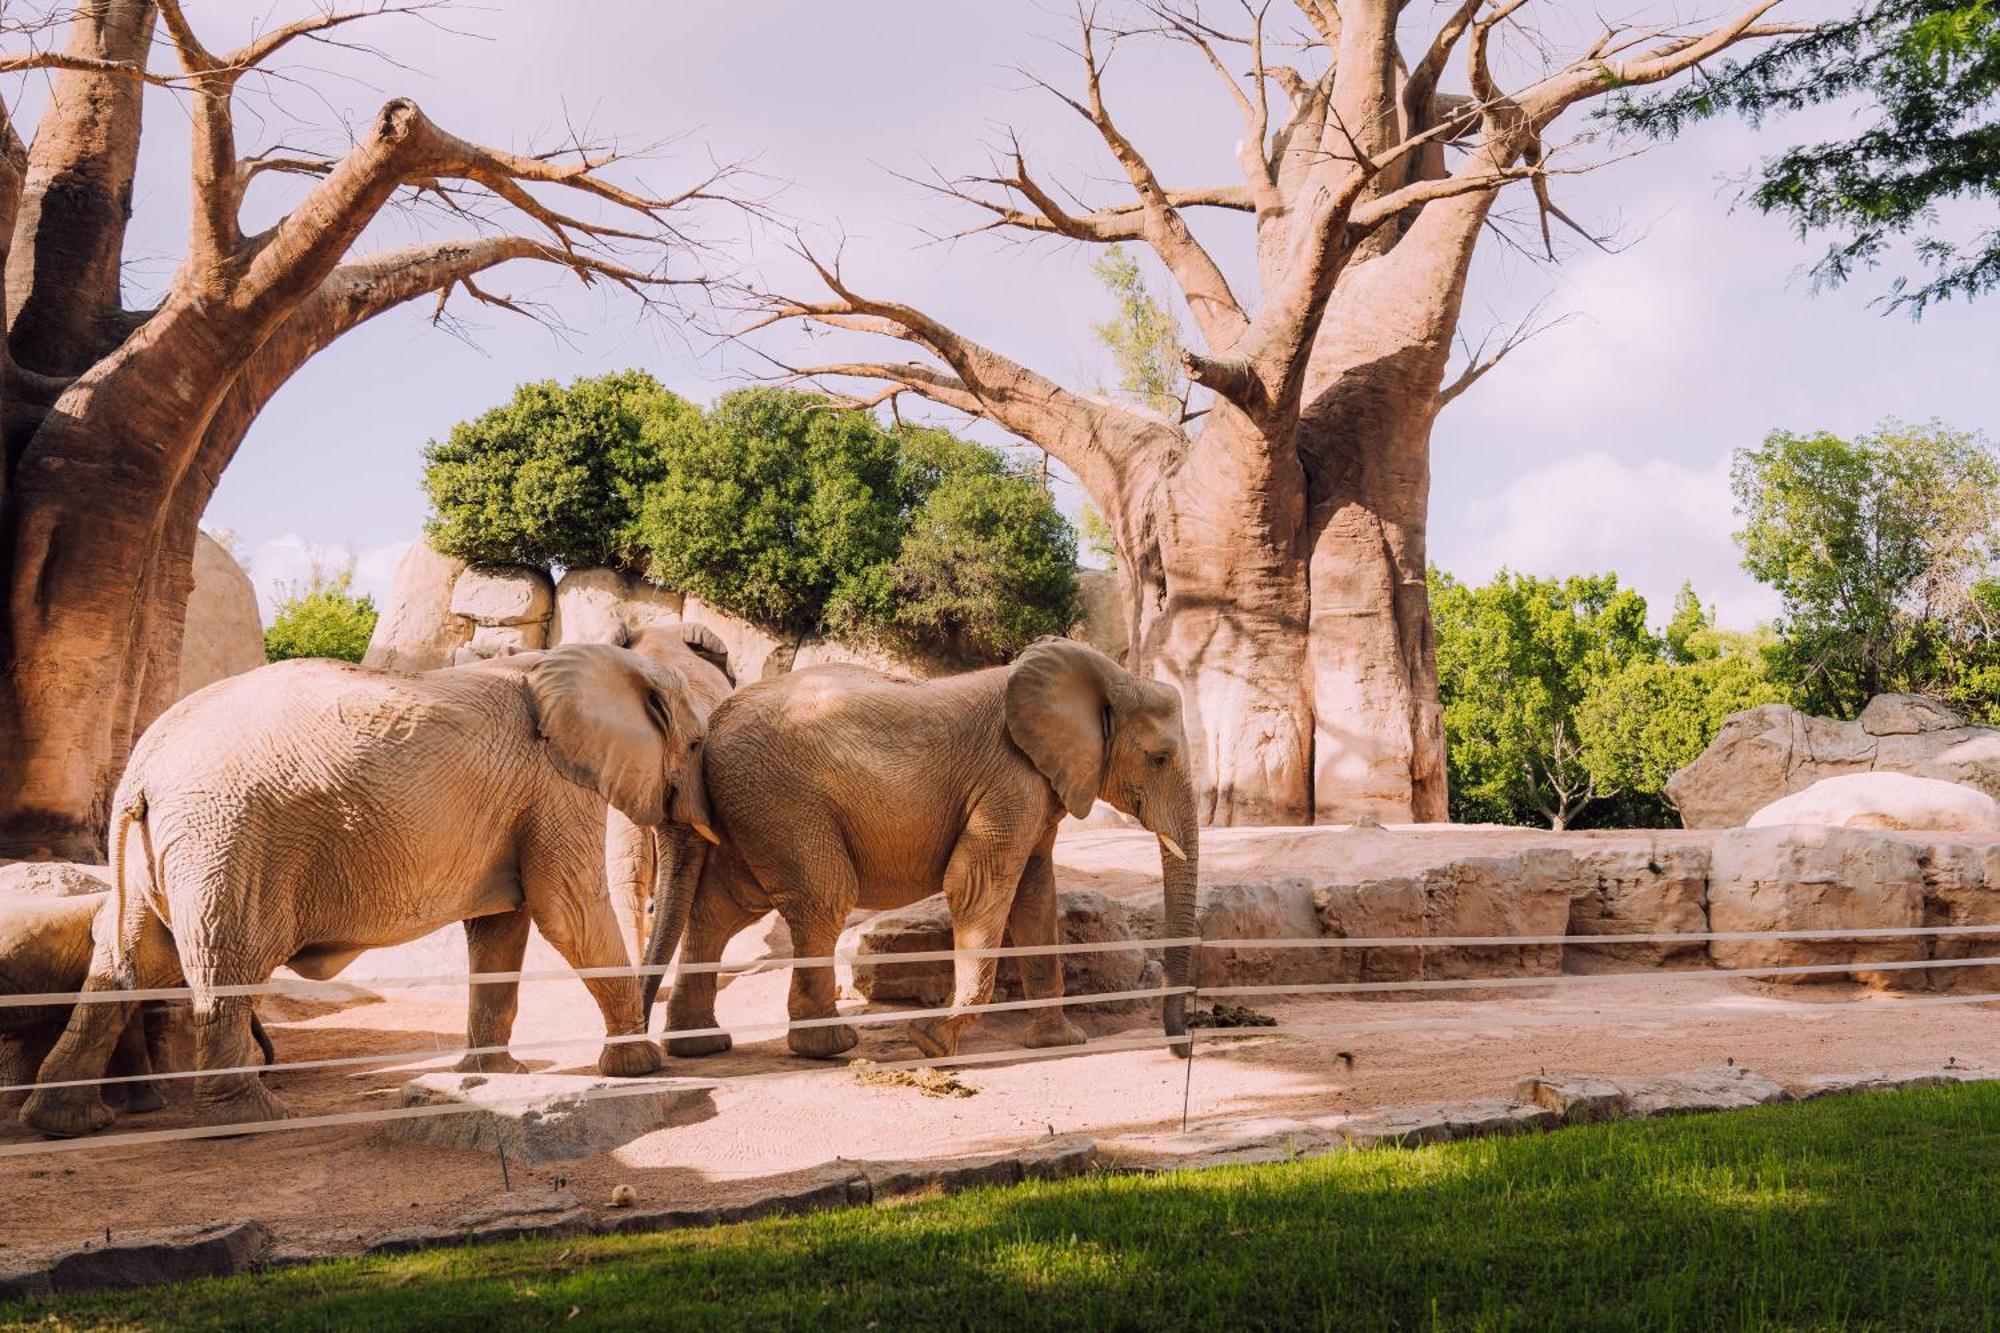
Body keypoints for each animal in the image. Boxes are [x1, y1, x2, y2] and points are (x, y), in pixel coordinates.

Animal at [23, 640, 716, 1128]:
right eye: (696, 743)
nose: (663, 1041)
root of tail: (140, 769)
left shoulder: (521, 802)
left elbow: (500, 929)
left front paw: (498, 1074)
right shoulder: (553, 788)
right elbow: (568, 912)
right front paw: (639, 1069)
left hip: (169, 852)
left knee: (131, 959)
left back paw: (65, 1122)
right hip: (225, 842)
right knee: (224, 961)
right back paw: (252, 1118)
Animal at [648, 632, 1192, 1056]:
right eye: (1160, 758)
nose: (1178, 1046)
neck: (1104, 673)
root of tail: (714, 724)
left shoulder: (1037, 788)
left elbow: (1036, 896)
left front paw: (1059, 1042)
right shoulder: (1009, 780)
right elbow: (975, 885)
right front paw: (931, 1042)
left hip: (751, 808)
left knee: (723, 908)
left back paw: (700, 1045)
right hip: (780, 801)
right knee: (823, 897)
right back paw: (829, 1047)